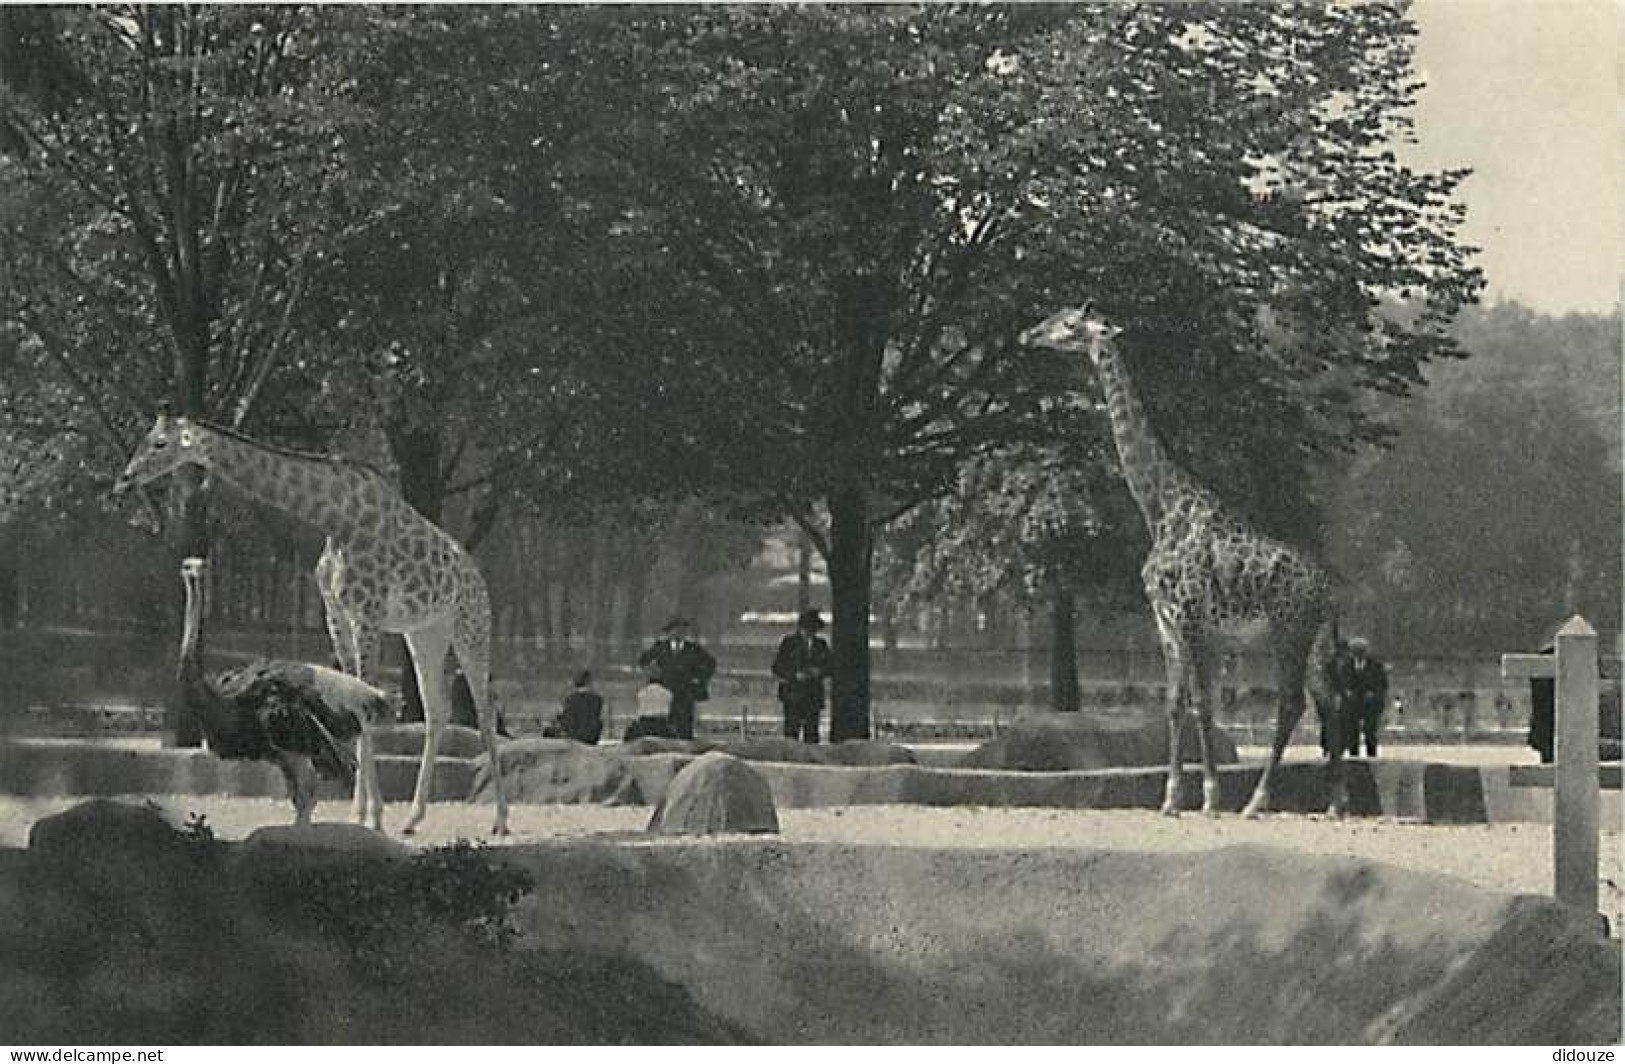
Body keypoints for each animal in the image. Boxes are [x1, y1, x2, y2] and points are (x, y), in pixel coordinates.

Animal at [113, 412, 510, 838]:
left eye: (159, 443)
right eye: (145, 438)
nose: (125, 478)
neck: (335, 518)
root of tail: (477, 575)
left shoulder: (366, 614)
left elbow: (366, 706)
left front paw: (373, 816)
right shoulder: (336, 615)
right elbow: (355, 701)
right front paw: (360, 813)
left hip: (470, 625)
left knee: (484, 710)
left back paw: (500, 820)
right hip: (425, 632)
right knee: (437, 708)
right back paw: (412, 818)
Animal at [1014, 303, 1345, 818]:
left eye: (1069, 324)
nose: (1029, 334)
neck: (1159, 507)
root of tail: (1329, 592)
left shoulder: (1188, 617)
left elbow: (1201, 705)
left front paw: (1208, 798)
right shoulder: (1168, 621)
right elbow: (1176, 704)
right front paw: (1172, 798)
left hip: (1286, 632)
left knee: (1292, 704)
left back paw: (1257, 801)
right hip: (1312, 641)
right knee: (1329, 702)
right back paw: (1334, 801)